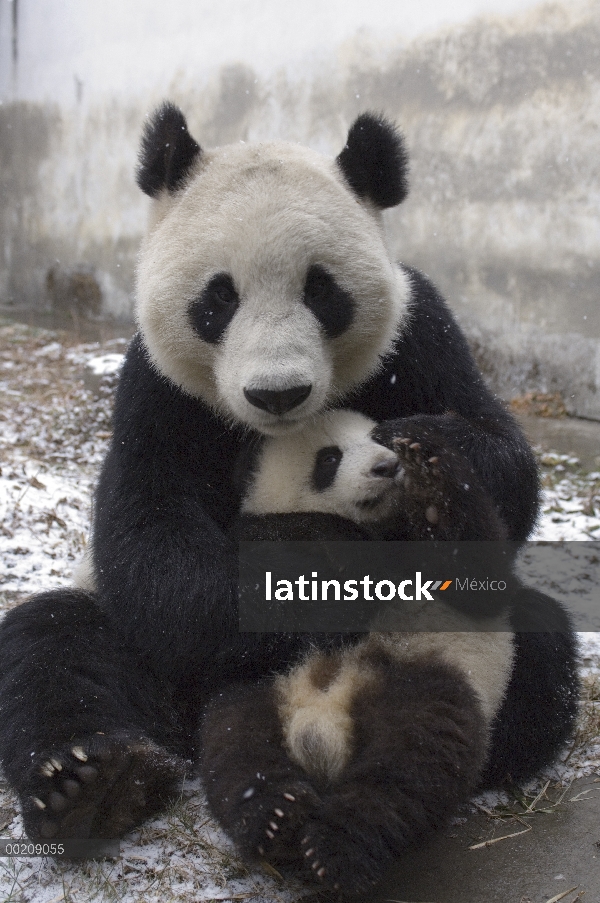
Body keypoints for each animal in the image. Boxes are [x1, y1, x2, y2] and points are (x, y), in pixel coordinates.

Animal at [0, 99, 580, 888]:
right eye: (218, 297)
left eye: (321, 290)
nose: (278, 394)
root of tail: (183, 727)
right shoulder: (157, 390)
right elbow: (150, 539)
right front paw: (319, 558)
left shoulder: (421, 334)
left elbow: (504, 464)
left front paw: (427, 457)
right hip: (155, 663)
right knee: (54, 644)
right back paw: (93, 784)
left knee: (532, 644)